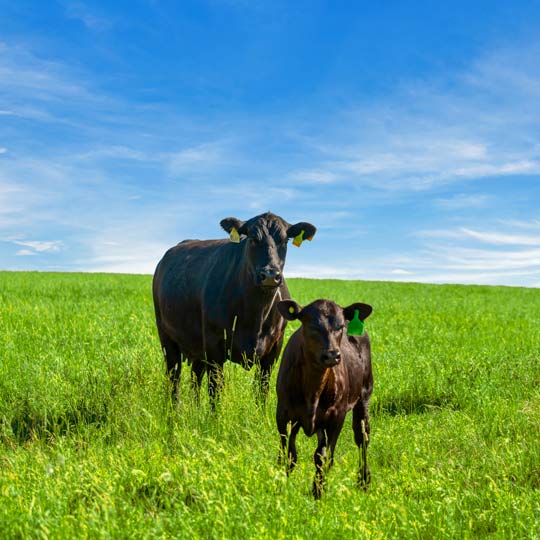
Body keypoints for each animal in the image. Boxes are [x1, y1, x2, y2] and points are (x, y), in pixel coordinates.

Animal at [152, 213, 316, 402]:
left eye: (285, 240)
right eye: (253, 238)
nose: (269, 275)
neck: (256, 314)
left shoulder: (274, 348)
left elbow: (262, 390)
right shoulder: (214, 343)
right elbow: (215, 390)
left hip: (197, 345)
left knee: (195, 377)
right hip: (166, 336)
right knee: (174, 378)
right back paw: (175, 409)